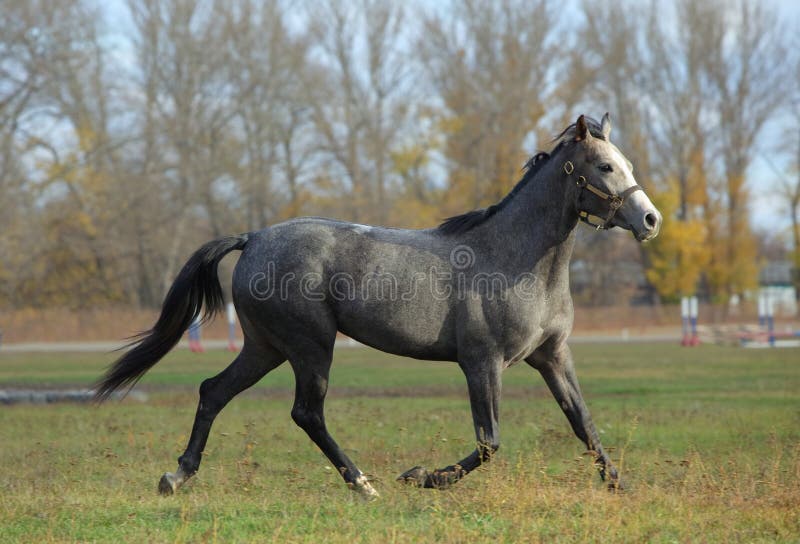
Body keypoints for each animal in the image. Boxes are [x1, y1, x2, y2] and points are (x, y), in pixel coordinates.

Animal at [97, 113, 664, 498]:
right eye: (605, 166)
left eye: (628, 164)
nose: (650, 220)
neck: (514, 258)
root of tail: (254, 237)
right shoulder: (482, 363)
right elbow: (489, 442)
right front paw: (421, 476)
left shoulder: (552, 356)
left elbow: (583, 423)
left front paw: (619, 485)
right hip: (310, 345)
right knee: (306, 412)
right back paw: (363, 483)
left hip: (265, 346)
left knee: (214, 391)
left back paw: (178, 475)